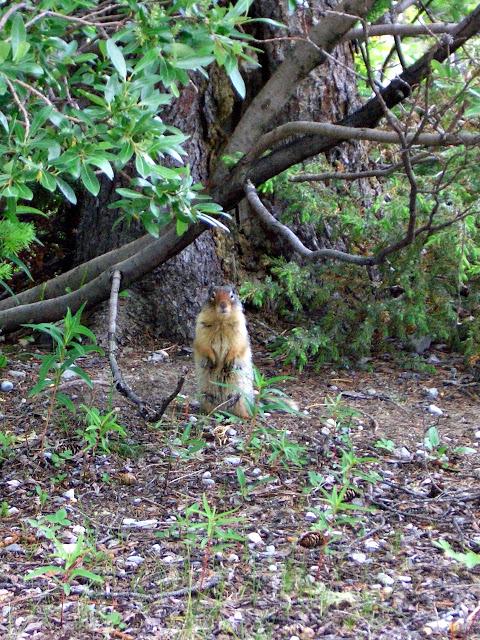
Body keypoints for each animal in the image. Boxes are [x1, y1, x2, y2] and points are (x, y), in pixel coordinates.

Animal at [194, 286, 255, 420]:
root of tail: (223, 409)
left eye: (232, 295)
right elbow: (203, 345)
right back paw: (207, 414)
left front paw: (229, 361)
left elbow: (236, 346)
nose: (223, 305)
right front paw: (211, 360)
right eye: (212, 295)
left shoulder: (239, 329)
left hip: (241, 397)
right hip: (206, 395)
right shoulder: (201, 328)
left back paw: (245, 416)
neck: (221, 322)